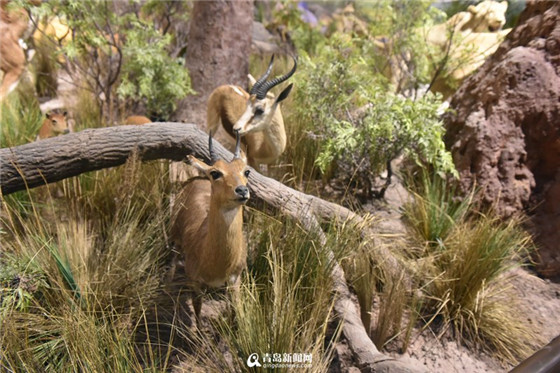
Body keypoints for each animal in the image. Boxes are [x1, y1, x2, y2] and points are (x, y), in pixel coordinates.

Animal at [171, 132, 249, 322]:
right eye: (215, 172)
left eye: (246, 171)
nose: (242, 190)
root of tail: (198, 177)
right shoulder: (195, 282)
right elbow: (198, 310)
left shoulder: (235, 280)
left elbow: (235, 310)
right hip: (174, 236)